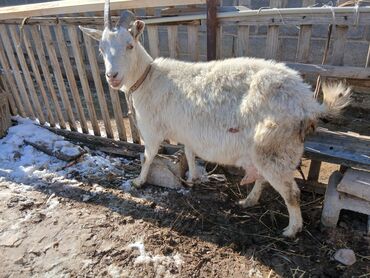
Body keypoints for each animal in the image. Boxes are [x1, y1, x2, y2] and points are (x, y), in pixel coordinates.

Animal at [79, 0, 352, 239]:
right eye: (101, 49)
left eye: (129, 45)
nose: (112, 76)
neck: (148, 78)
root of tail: (307, 101)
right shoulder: (187, 131)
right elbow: (189, 154)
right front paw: (192, 178)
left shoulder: (152, 129)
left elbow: (148, 156)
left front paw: (138, 182)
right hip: (267, 151)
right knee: (263, 178)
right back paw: (248, 200)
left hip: (275, 146)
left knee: (291, 192)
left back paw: (291, 230)